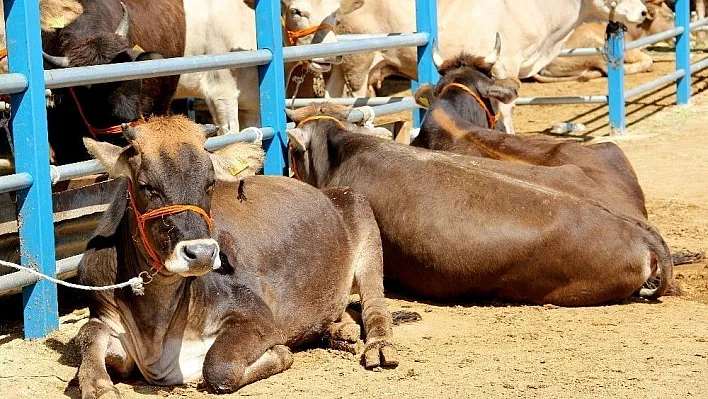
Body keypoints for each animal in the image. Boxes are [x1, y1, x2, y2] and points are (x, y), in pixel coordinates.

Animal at [76, 114, 398, 398]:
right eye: (146, 186)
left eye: (209, 184)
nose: (201, 253)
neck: (157, 327)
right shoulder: (104, 312)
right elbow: (87, 336)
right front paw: (100, 387)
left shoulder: (257, 316)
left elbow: (218, 367)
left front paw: (279, 354)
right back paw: (339, 331)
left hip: (364, 228)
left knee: (375, 306)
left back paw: (379, 347)